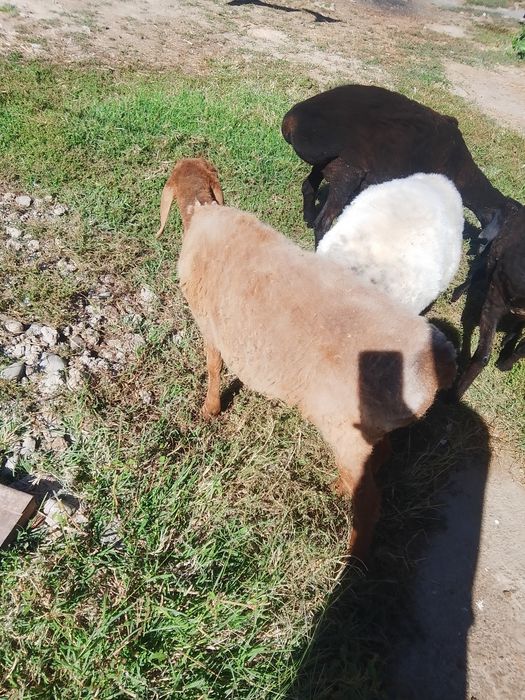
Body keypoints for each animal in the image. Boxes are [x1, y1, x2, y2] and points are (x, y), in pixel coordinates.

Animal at [281, 83, 519, 248]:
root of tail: (292, 122)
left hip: (327, 165)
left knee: (308, 187)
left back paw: (308, 218)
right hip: (347, 172)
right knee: (324, 221)